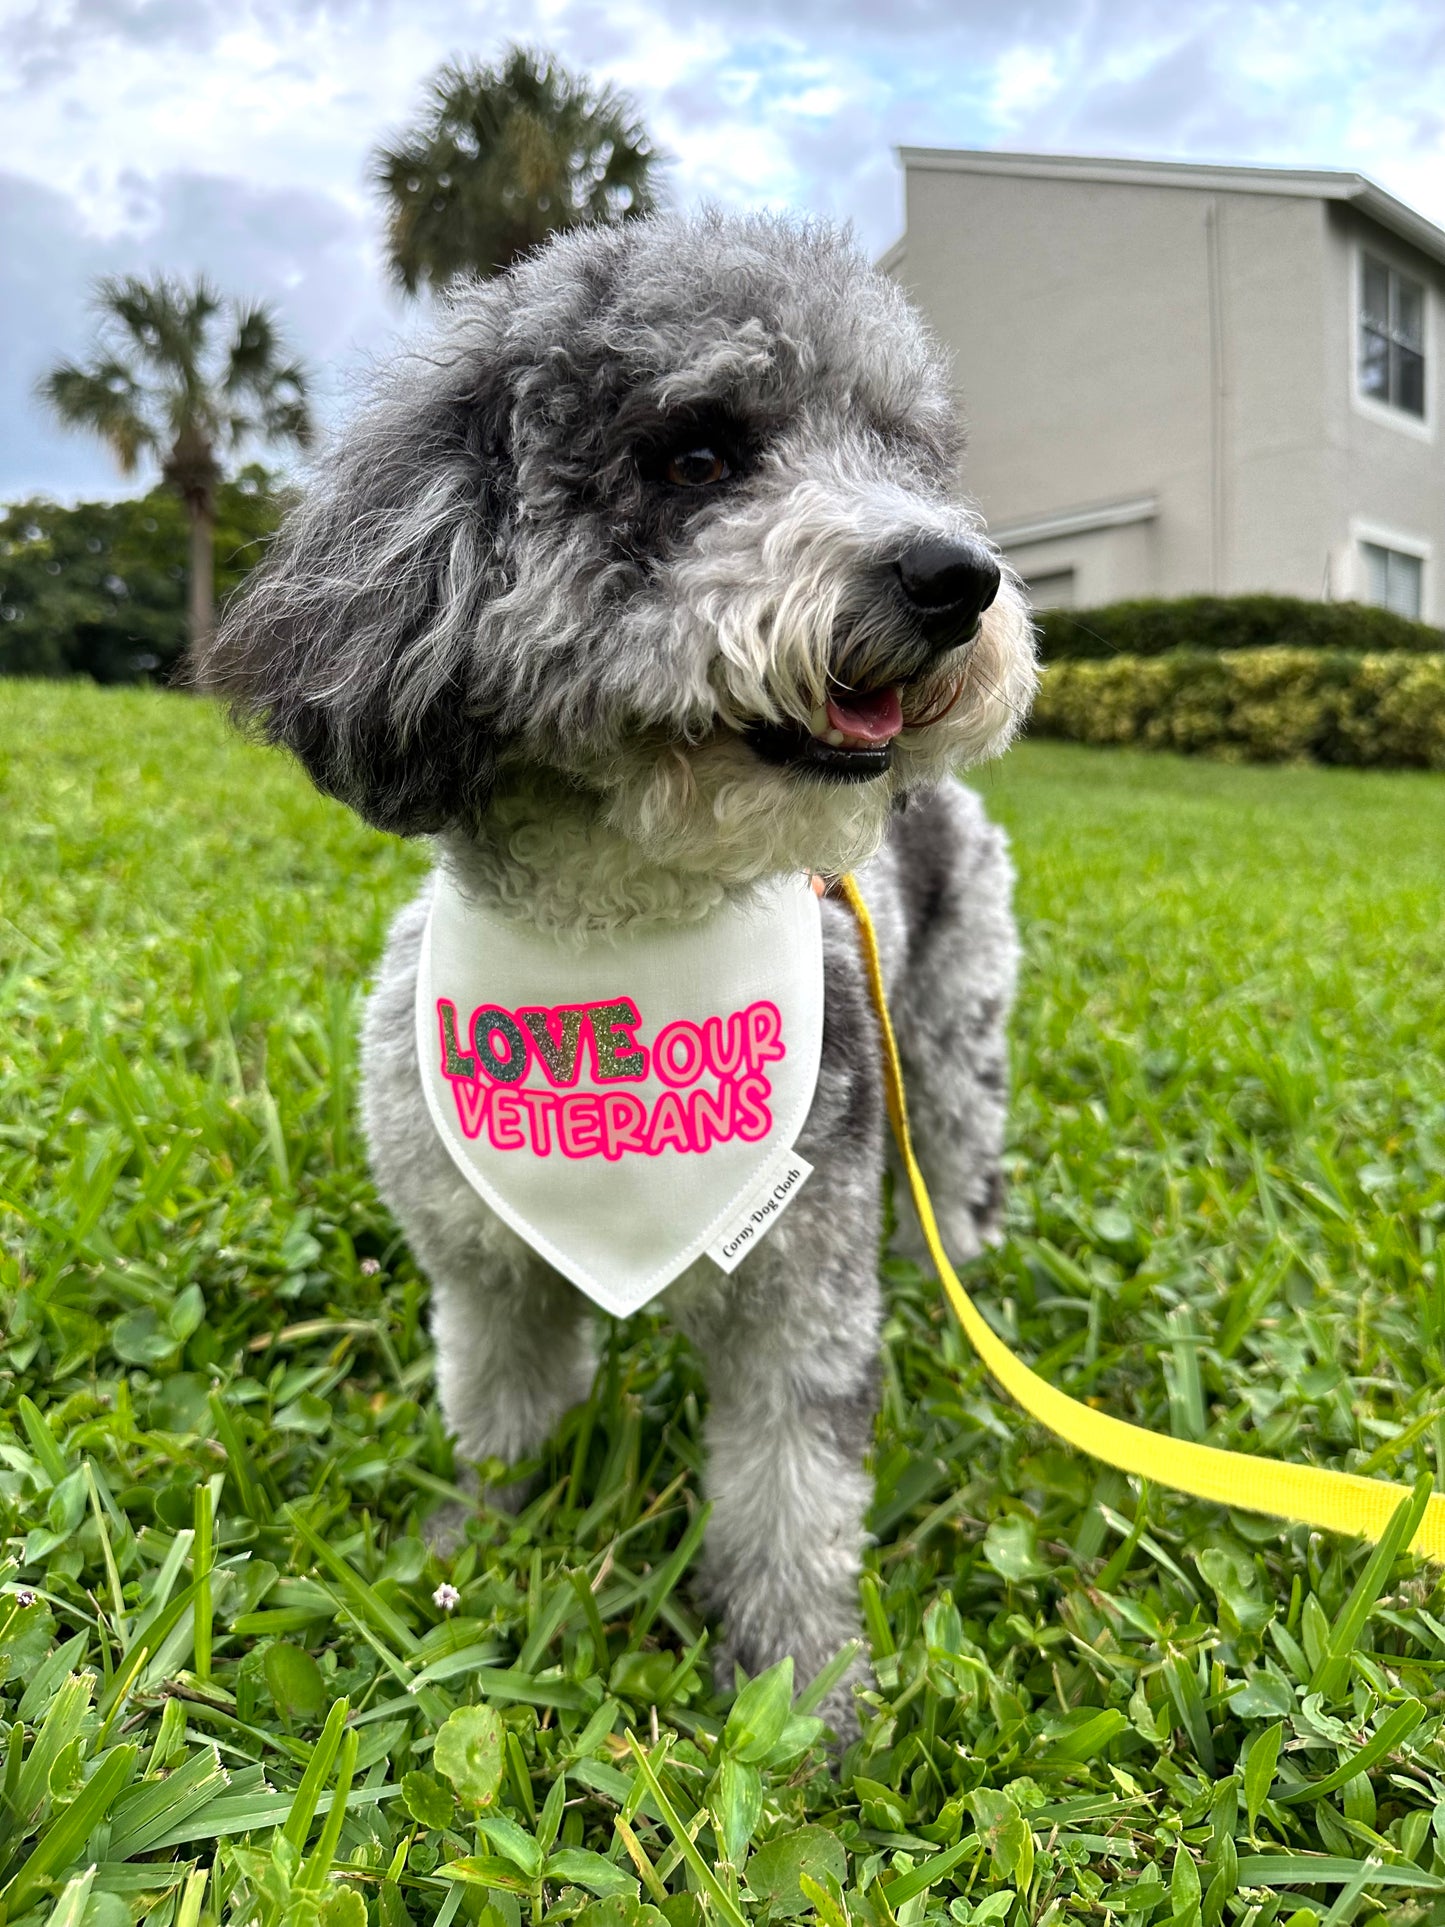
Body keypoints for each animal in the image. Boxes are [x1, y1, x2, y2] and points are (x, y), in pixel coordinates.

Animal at [204, 207, 1040, 1734]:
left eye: (905, 454)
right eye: (698, 454)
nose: (956, 577)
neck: (621, 931)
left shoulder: (802, 1284)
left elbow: (789, 1499)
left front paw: (802, 1700)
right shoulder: (481, 1266)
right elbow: (500, 1414)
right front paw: (470, 1547)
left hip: (953, 1047)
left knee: (951, 1179)